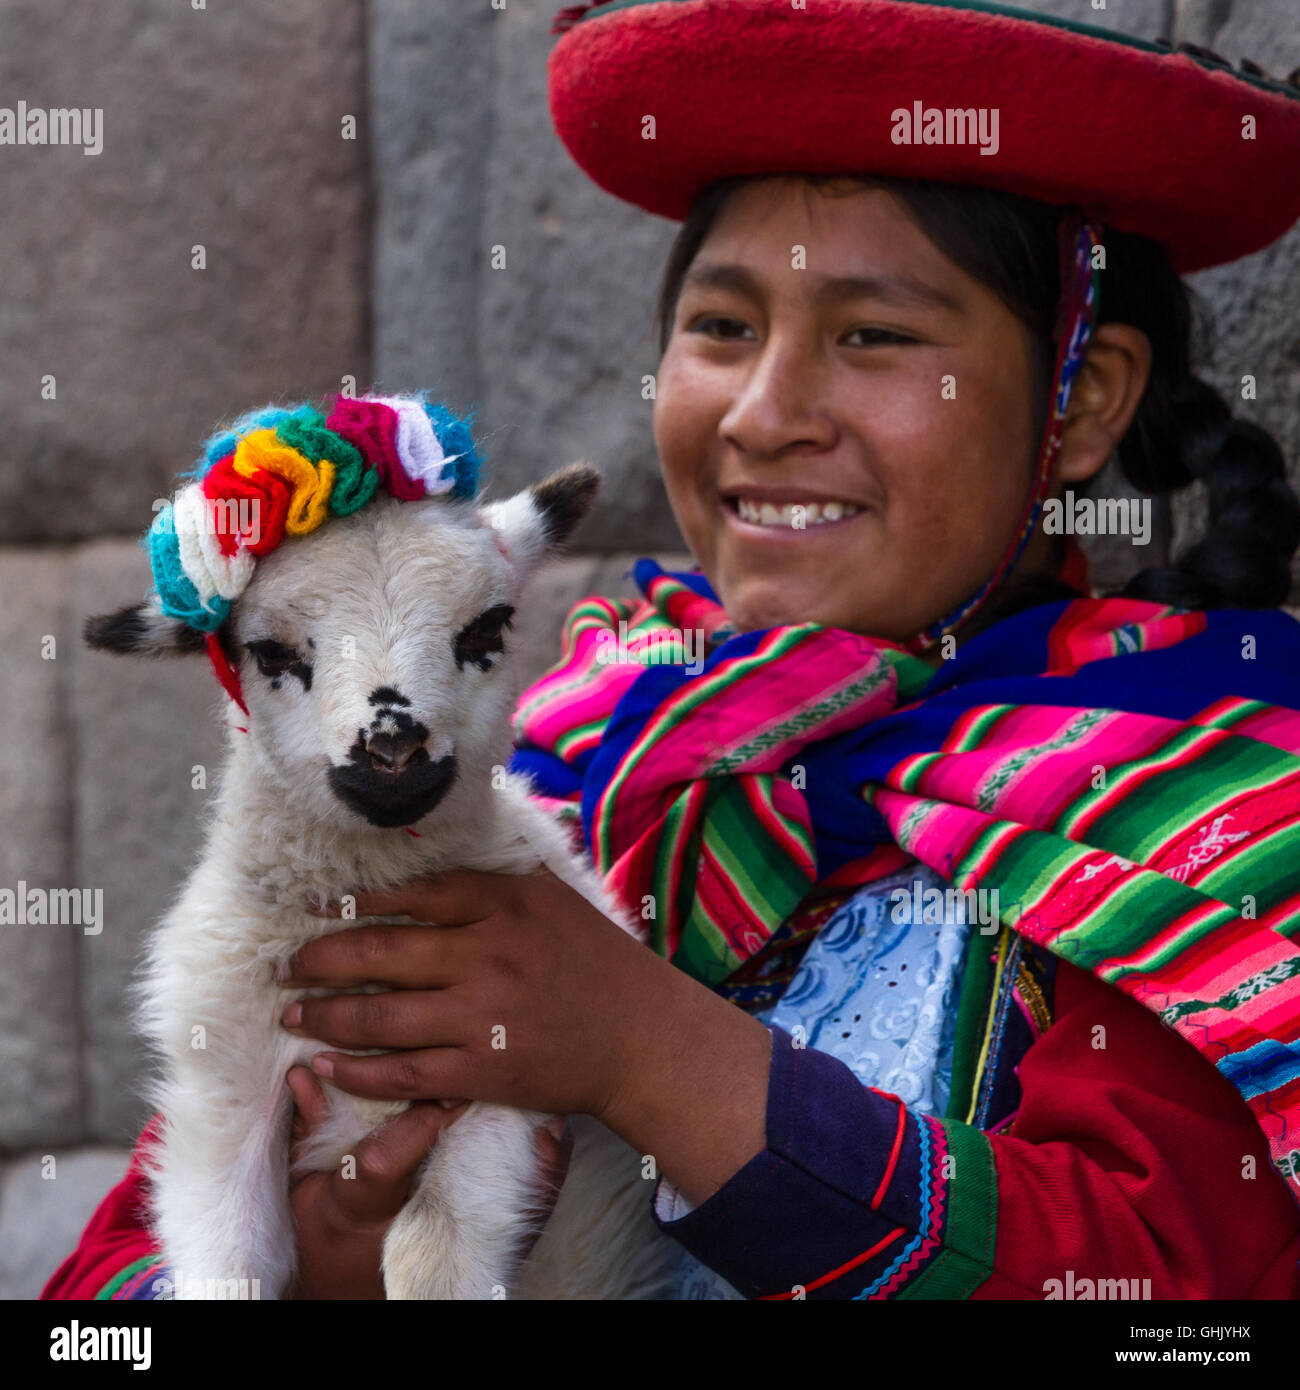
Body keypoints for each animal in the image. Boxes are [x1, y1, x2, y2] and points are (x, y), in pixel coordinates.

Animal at [87, 397, 681, 1295]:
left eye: (489, 627)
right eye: (269, 651)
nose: (394, 748)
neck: (363, 894)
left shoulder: (512, 1063)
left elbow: (431, 1246)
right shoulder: (223, 1091)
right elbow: (230, 1261)